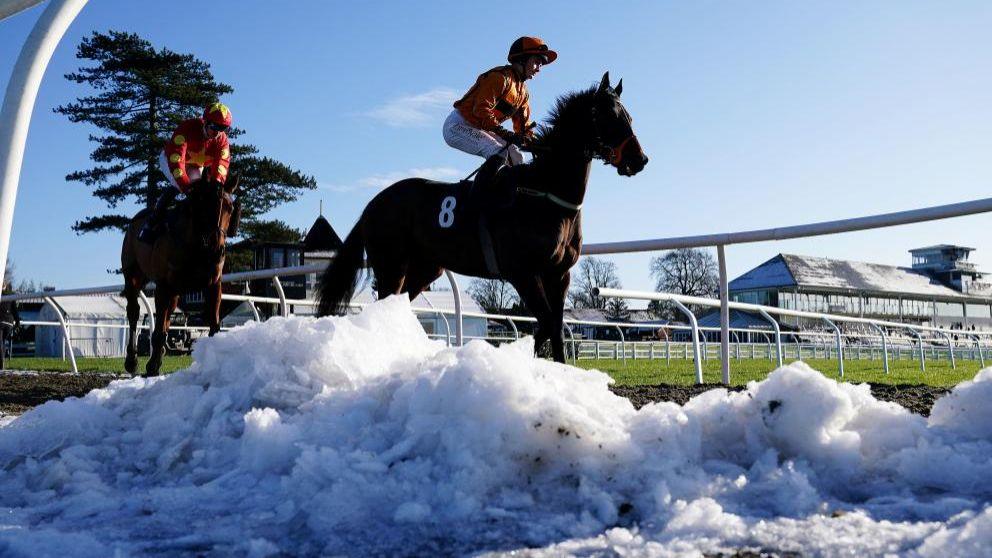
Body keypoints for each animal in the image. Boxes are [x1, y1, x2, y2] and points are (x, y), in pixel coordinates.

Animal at [121, 178, 241, 376]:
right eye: (204, 205)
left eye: (230, 208)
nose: (217, 250)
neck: (196, 246)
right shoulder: (163, 286)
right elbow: (158, 330)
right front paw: (152, 366)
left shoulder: (213, 284)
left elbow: (214, 324)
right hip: (133, 275)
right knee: (134, 311)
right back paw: (132, 360)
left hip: (175, 293)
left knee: (168, 317)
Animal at [314, 73, 648, 364]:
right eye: (609, 117)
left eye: (629, 117)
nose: (640, 160)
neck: (545, 192)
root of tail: (372, 204)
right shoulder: (523, 273)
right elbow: (546, 323)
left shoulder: (559, 274)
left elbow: (552, 325)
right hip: (391, 265)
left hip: (425, 268)